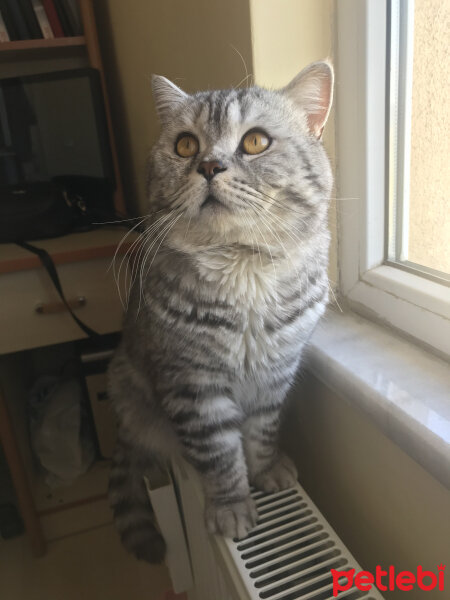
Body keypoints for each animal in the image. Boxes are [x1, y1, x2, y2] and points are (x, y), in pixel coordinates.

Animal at [108, 61, 334, 564]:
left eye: (255, 141)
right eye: (185, 145)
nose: (209, 165)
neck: (245, 269)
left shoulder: (275, 374)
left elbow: (263, 431)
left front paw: (266, 470)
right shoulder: (193, 384)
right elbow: (219, 453)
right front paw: (231, 505)